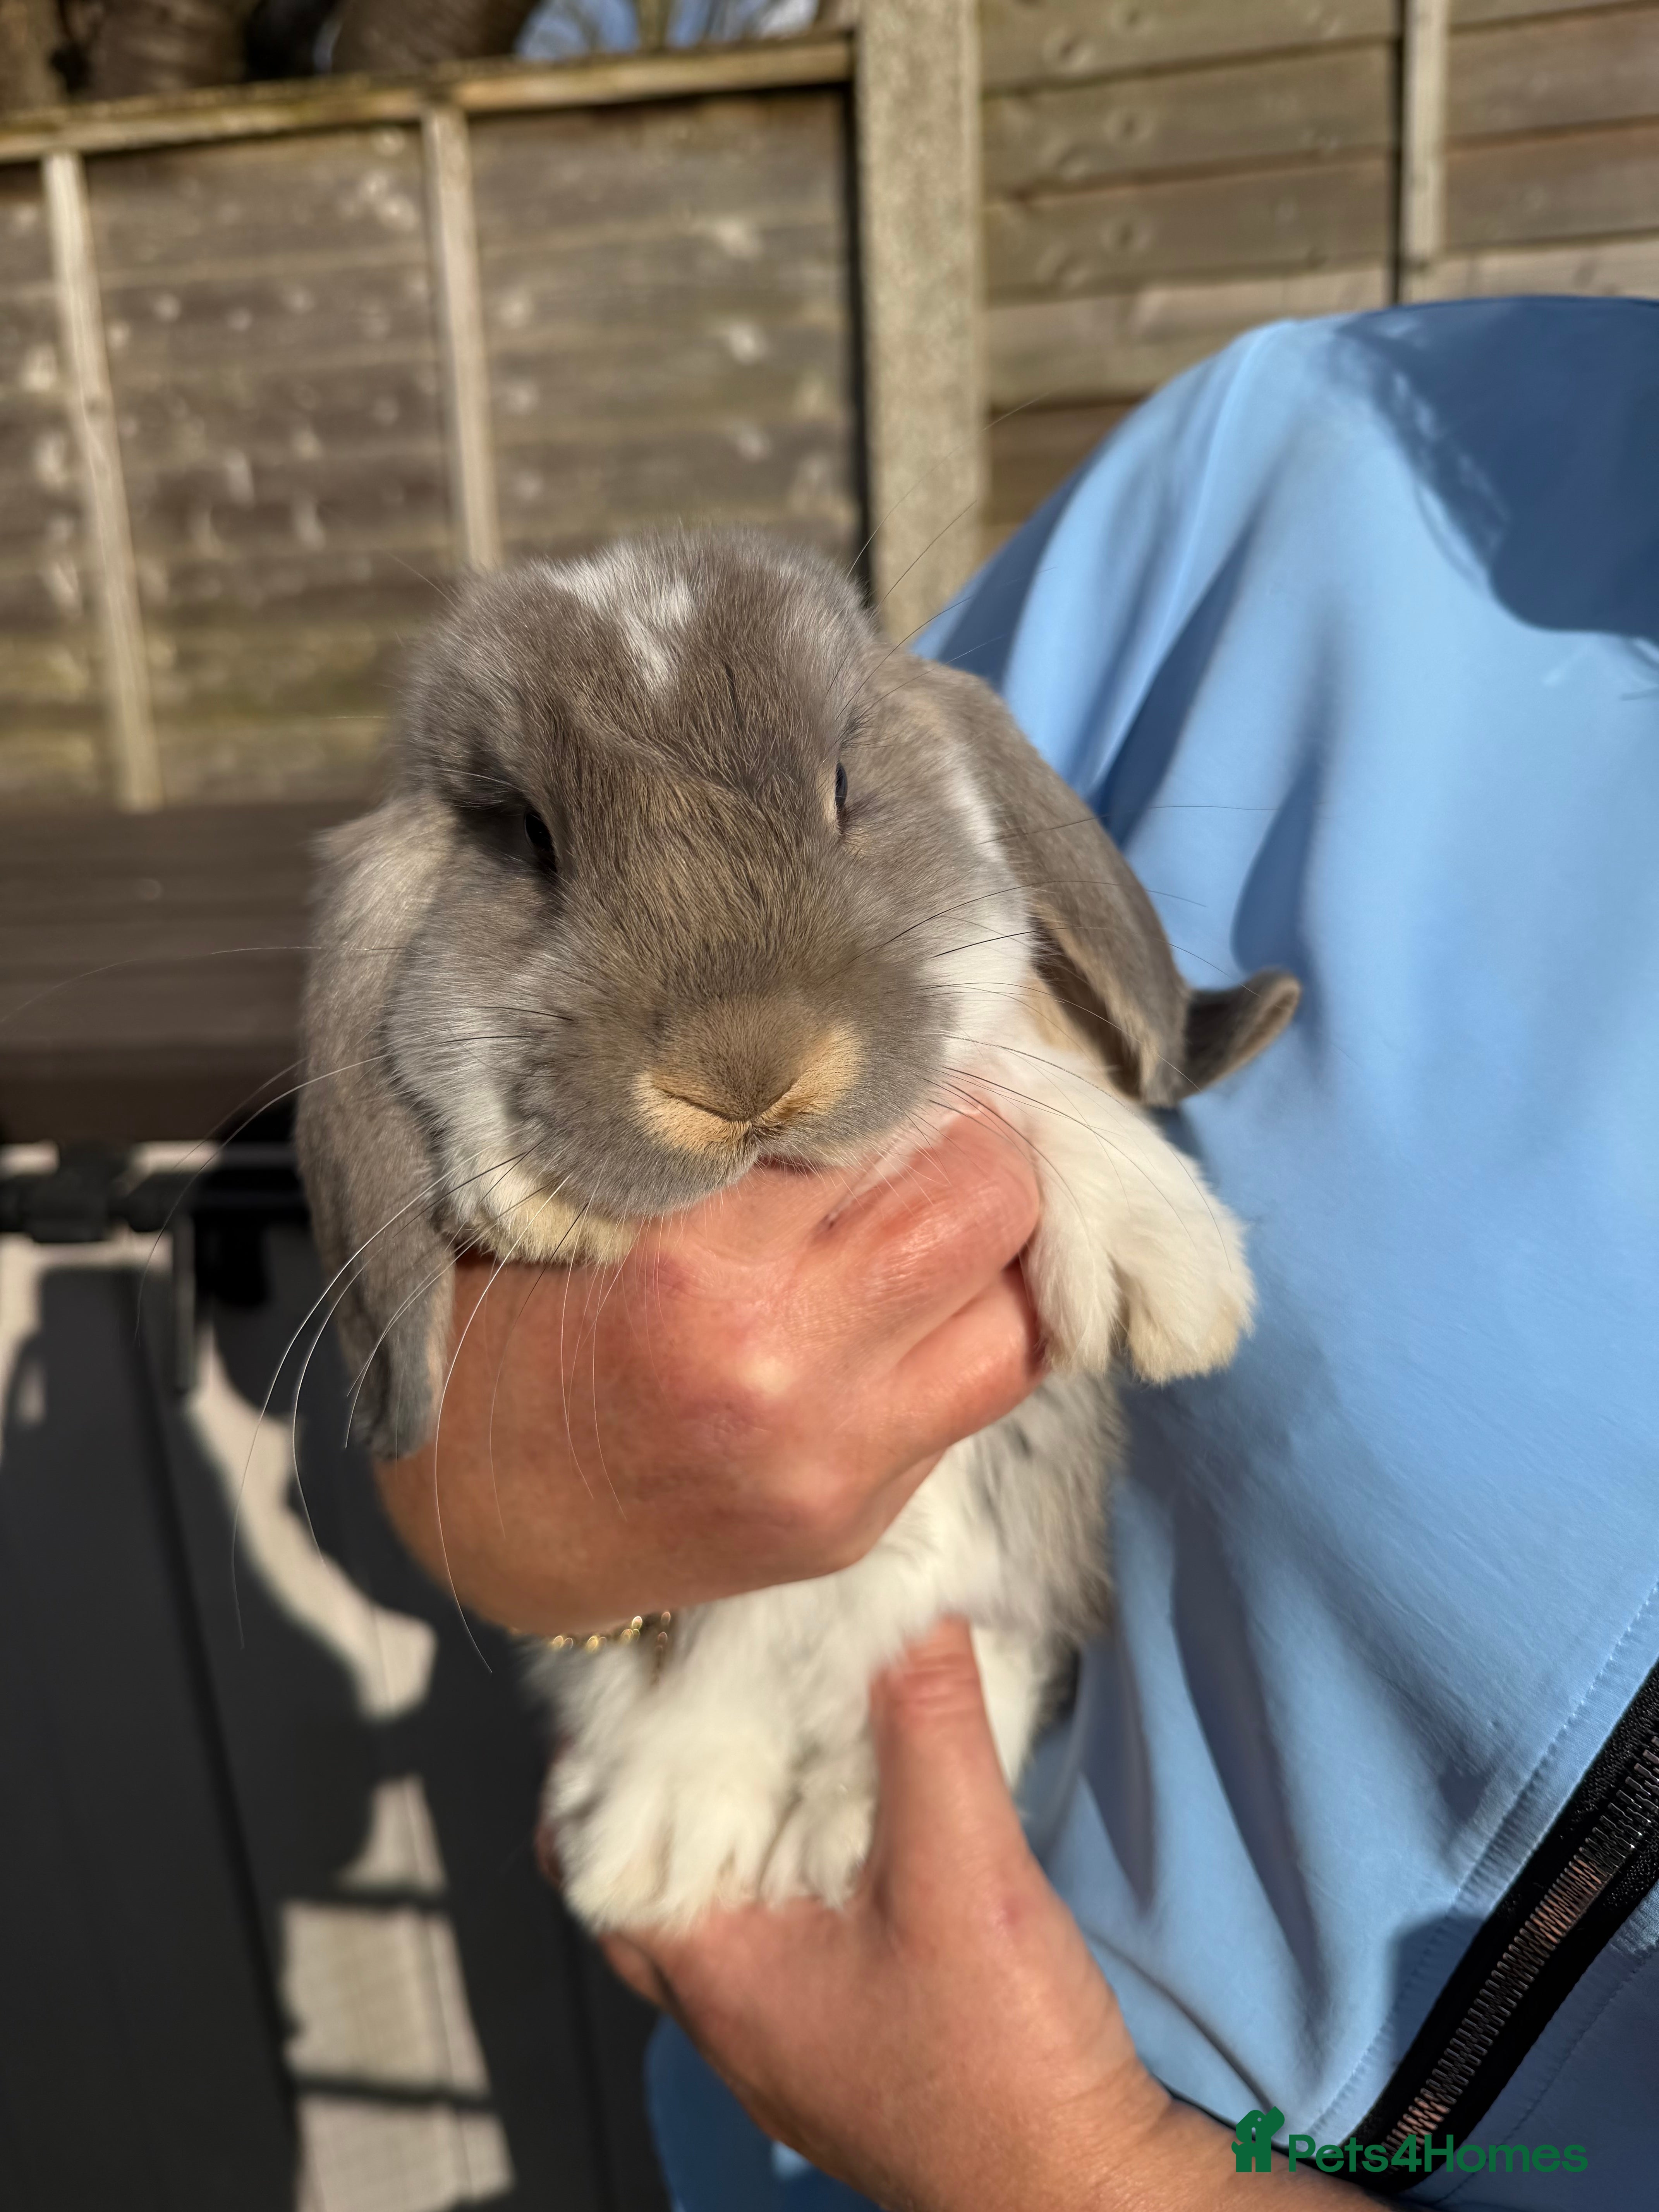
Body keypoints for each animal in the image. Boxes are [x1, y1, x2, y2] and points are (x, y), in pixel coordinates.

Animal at [297, 528, 1299, 1933]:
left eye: (841, 786)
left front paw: (1164, 1260)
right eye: (527, 838)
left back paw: (826, 1822)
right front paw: (523, 1193)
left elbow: (1003, 1057)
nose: (747, 1069)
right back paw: (655, 1837)